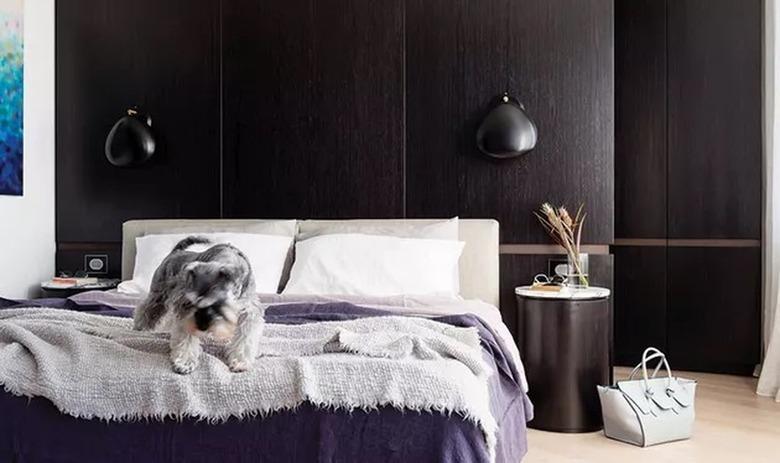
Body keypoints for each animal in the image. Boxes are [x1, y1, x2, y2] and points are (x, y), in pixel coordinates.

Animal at [134, 237, 266, 376]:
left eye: (217, 303)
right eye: (190, 302)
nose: (202, 327)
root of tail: (175, 252)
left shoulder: (249, 313)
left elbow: (245, 339)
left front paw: (240, 362)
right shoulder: (183, 310)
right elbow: (186, 338)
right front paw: (184, 363)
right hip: (158, 296)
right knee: (145, 310)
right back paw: (140, 328)